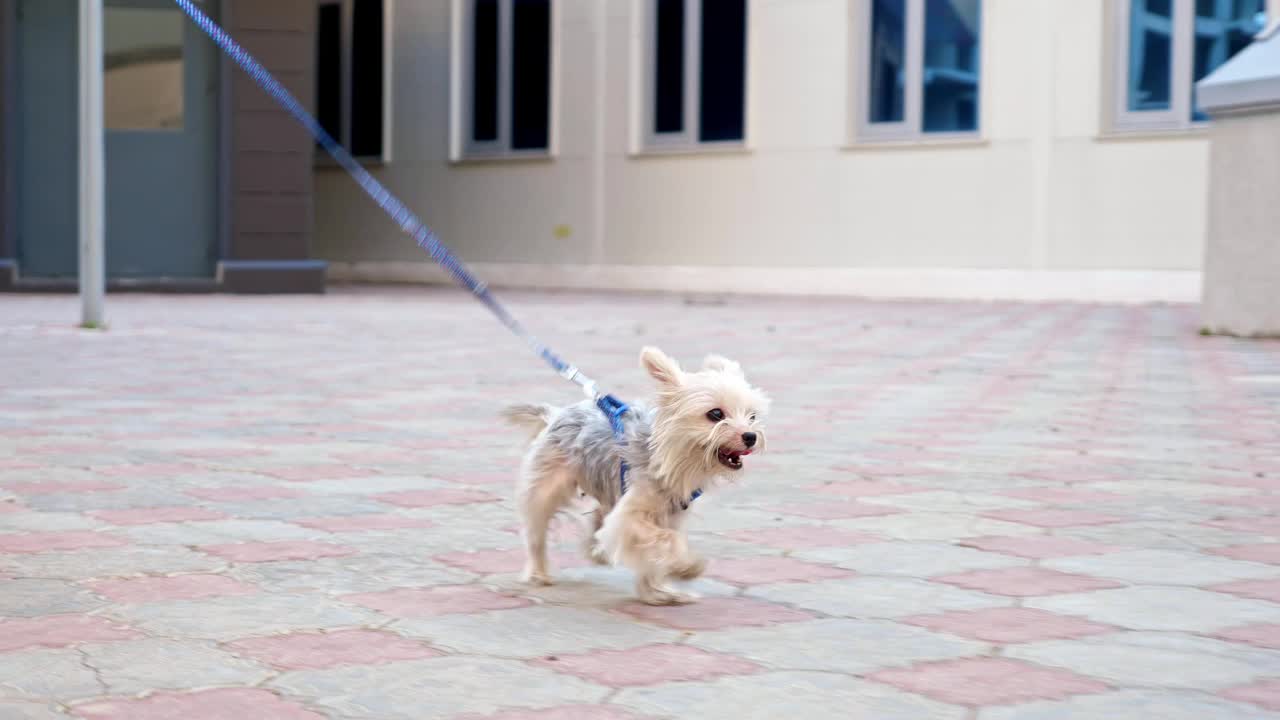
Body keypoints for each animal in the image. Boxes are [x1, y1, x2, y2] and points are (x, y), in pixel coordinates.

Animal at [501, 345, 768, 602]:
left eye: (752, 416)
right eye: (715, 414)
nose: (750, 436)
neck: (675, 463)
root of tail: (555, 414)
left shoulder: (669, 516)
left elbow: (655, 552)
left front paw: (659, 591)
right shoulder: (629, 517)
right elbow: (666, 540)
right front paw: (685, 567)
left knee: (596, 517)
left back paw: (595, 550)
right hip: (543, 490)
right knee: (536, 534)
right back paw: (539, 573)